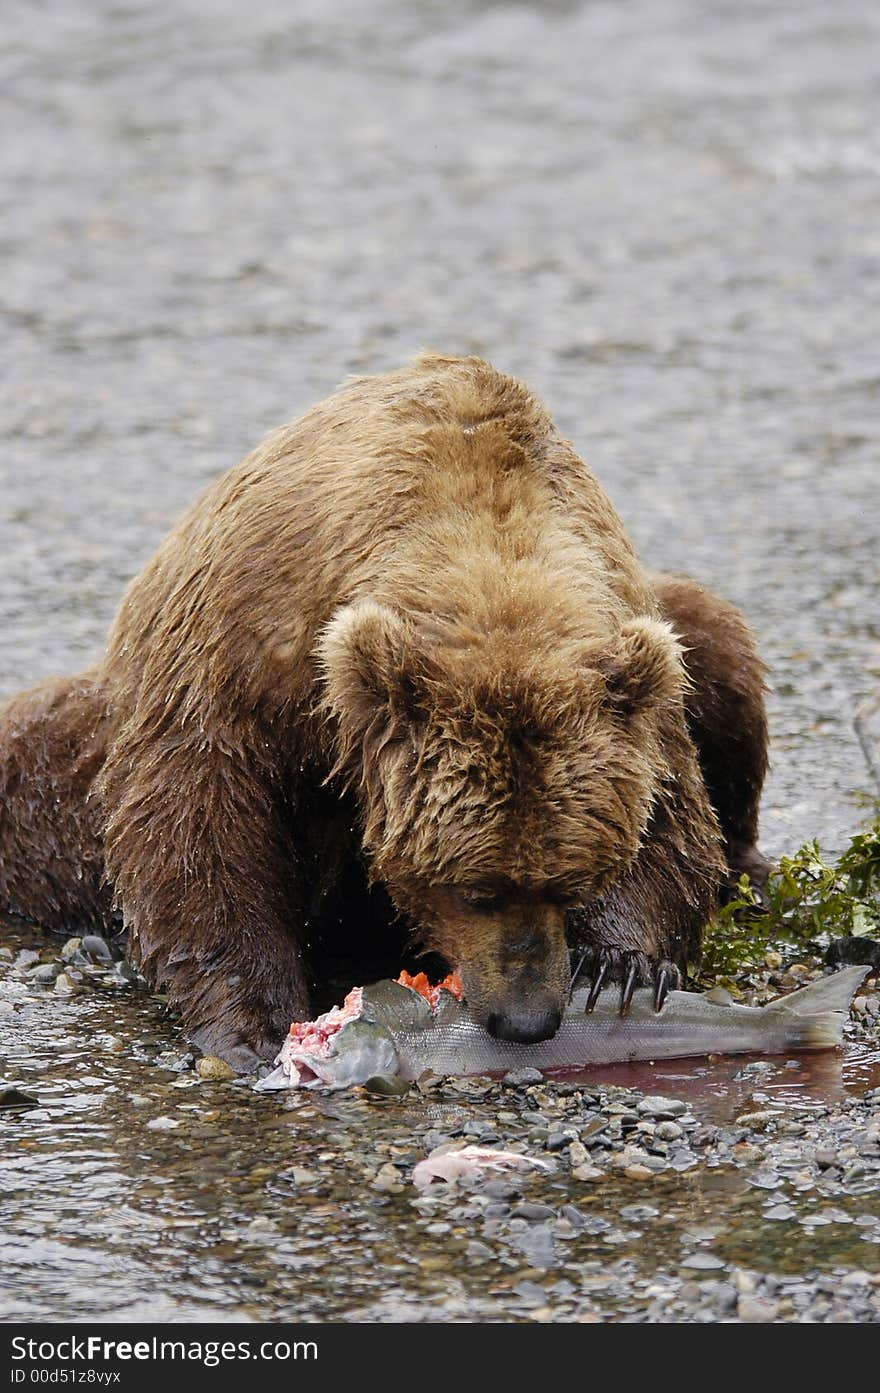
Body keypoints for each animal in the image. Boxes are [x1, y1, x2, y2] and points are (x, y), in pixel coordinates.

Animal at [0, 356, 768, 1064]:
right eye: (474, 888)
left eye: (569, 881)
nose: (527, 1019)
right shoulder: (242, 660)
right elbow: (197, 829)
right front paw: (254, 1021)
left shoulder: (629, 653)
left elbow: (670, 815)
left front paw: (617, 964)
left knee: (720, 648)